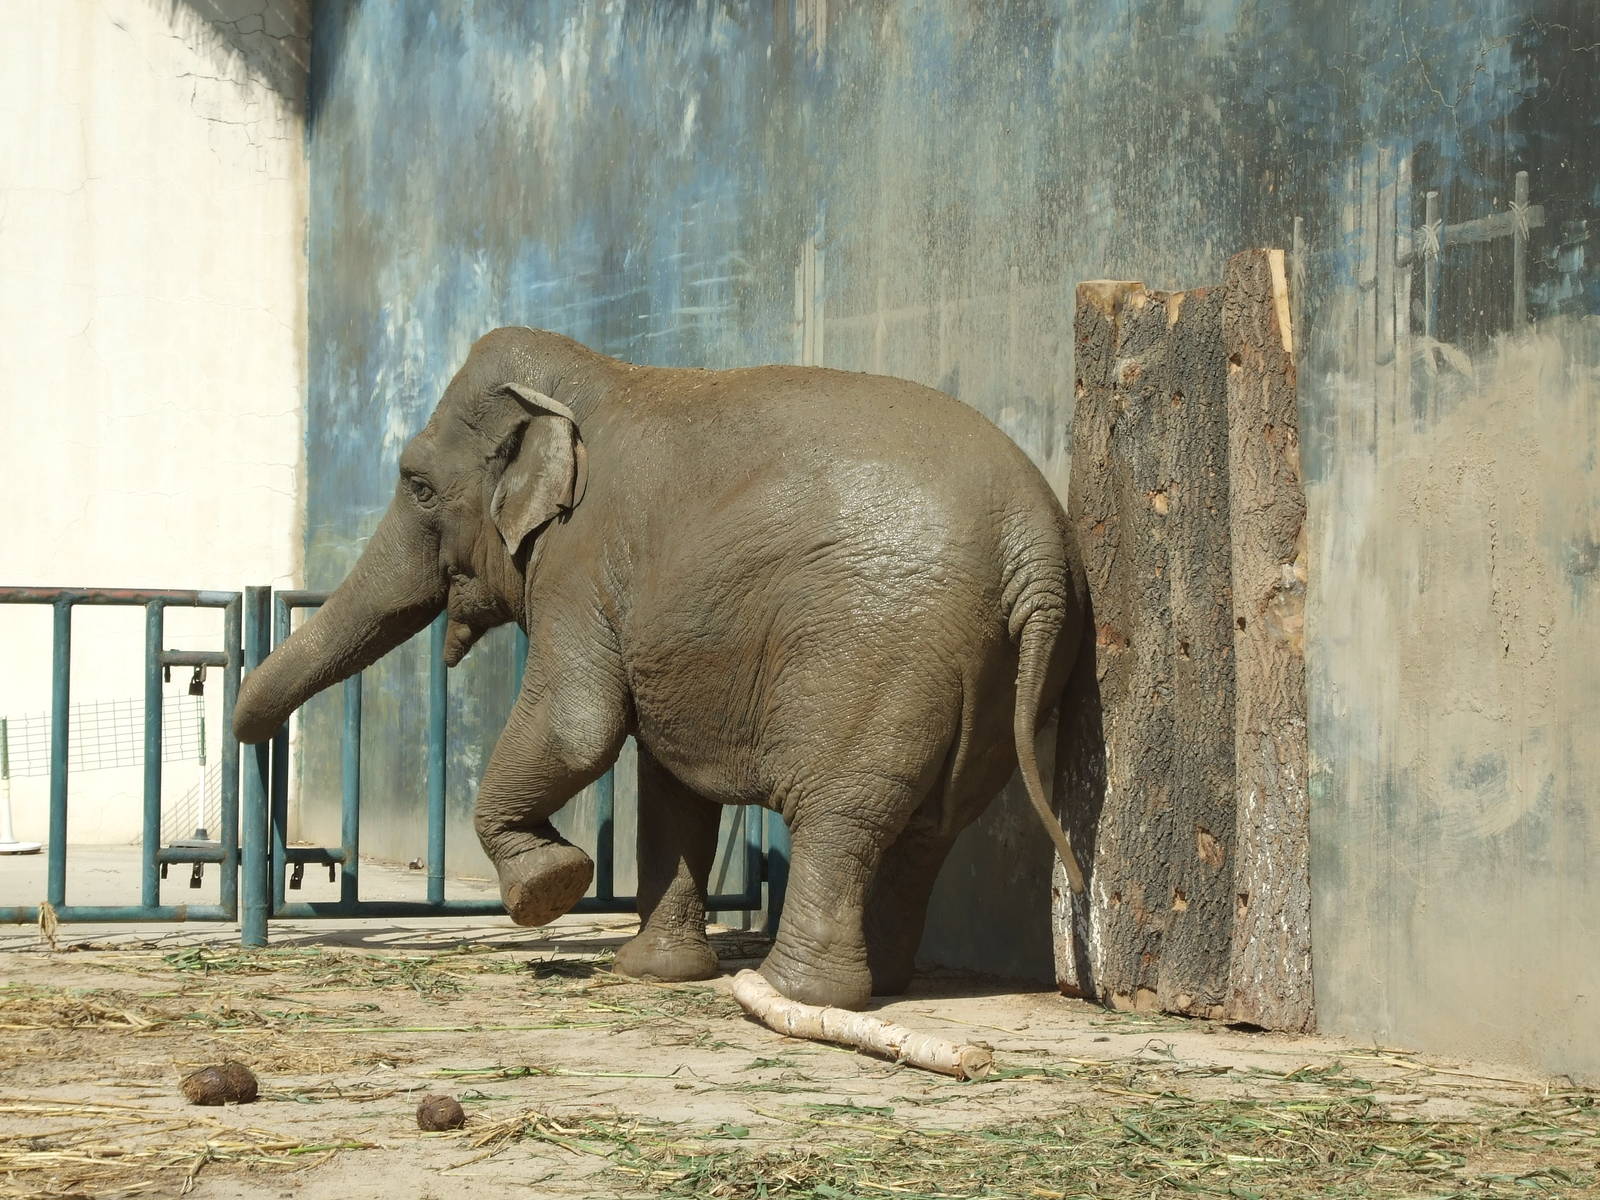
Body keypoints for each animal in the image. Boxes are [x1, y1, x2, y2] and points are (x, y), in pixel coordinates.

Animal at [233, 327, 1088, 1010]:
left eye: (416, 484)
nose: (248, 732)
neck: (589, 378)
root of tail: (1034, 544)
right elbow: (668, 781)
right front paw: (652, 971)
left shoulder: (579, 564)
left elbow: (577, 727)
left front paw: (550, 884)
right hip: (998, 672)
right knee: (927, 830)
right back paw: (881, 982)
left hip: (878, 649)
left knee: (843, 818)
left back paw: (794, 995)